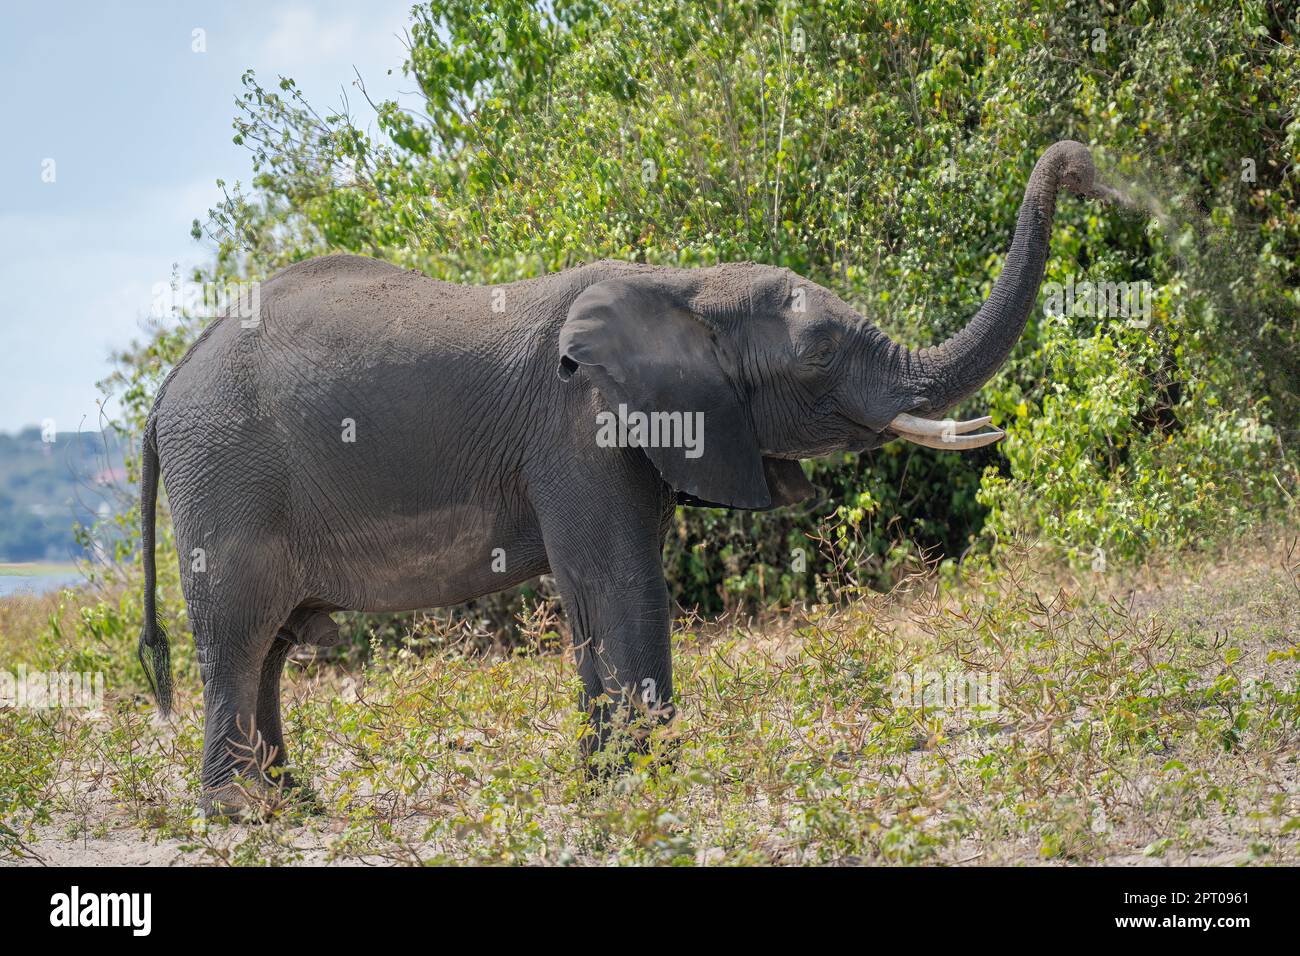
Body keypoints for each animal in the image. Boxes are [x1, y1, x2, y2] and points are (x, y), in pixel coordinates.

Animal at [136, 139, 1121, 813]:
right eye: (817, 355)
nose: (1082, 168)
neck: (683, 283)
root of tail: (162, 394)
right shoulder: (575, 428)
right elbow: (618, 580)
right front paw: (644, 787)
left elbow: (607, 584)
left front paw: (611, 784)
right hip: (224, 473)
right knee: (239, 633)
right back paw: (241, 817)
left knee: (274, 644)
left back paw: (291, 803)